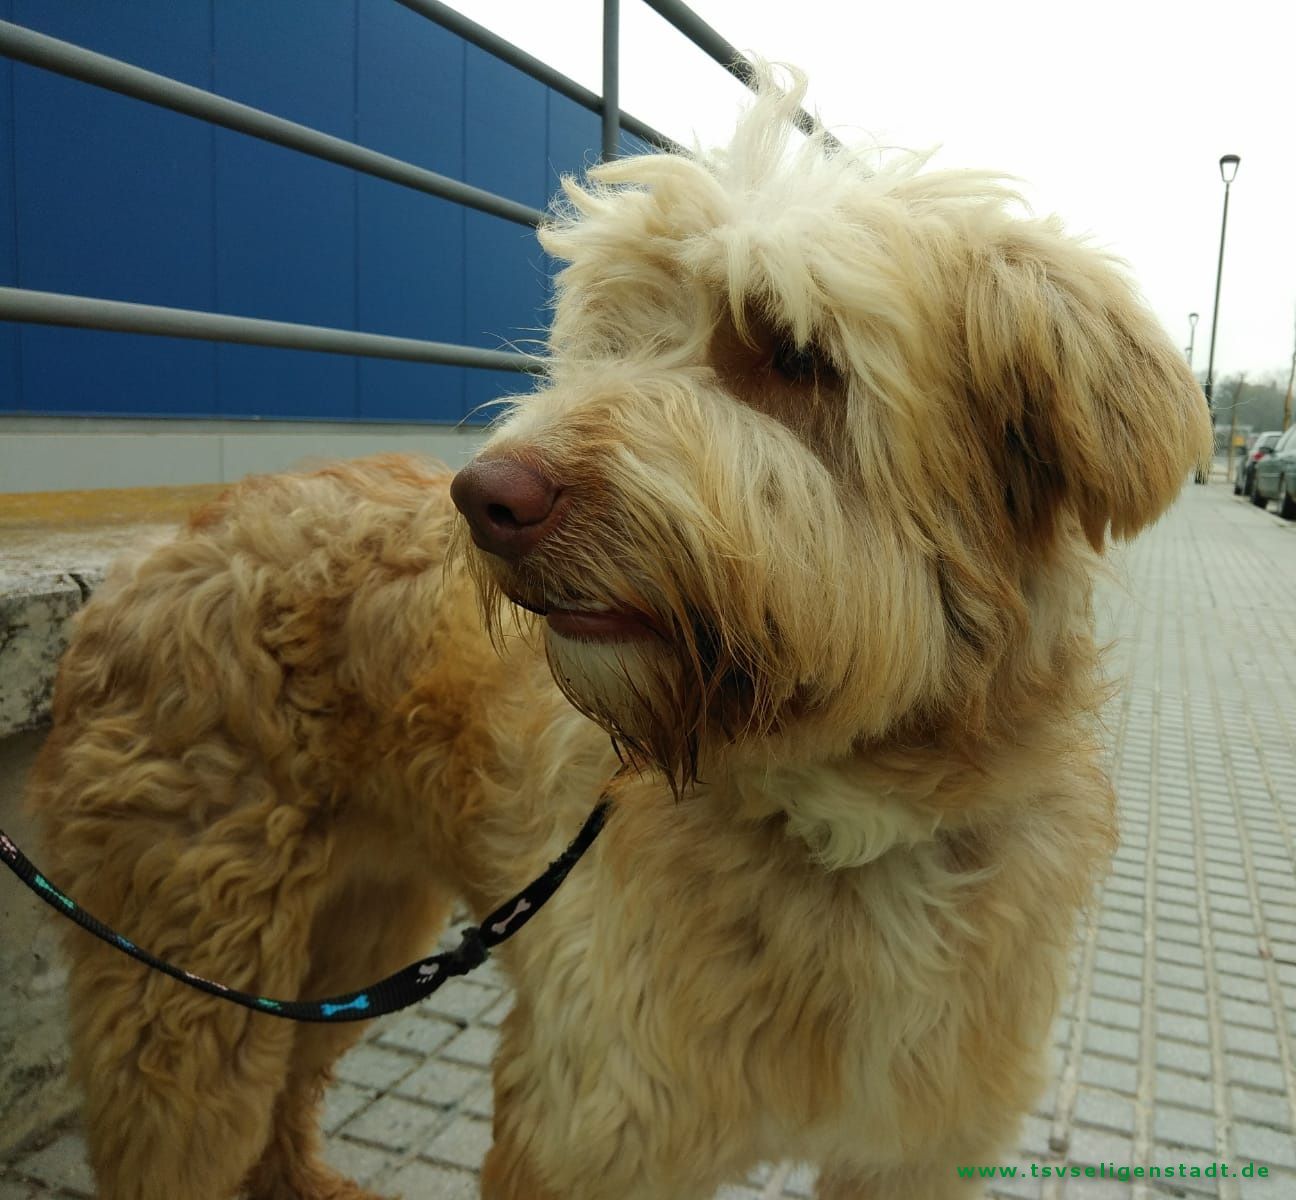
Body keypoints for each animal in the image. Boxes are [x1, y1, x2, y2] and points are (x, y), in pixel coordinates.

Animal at [28, 70, 1211, 1199]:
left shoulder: (918, 1147)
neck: (842, 819)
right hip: (187, 970)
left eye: (791, 353)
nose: (485, 498)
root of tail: (162, 547)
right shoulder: (589, 1111)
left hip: (359, 929)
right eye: (610, 343)